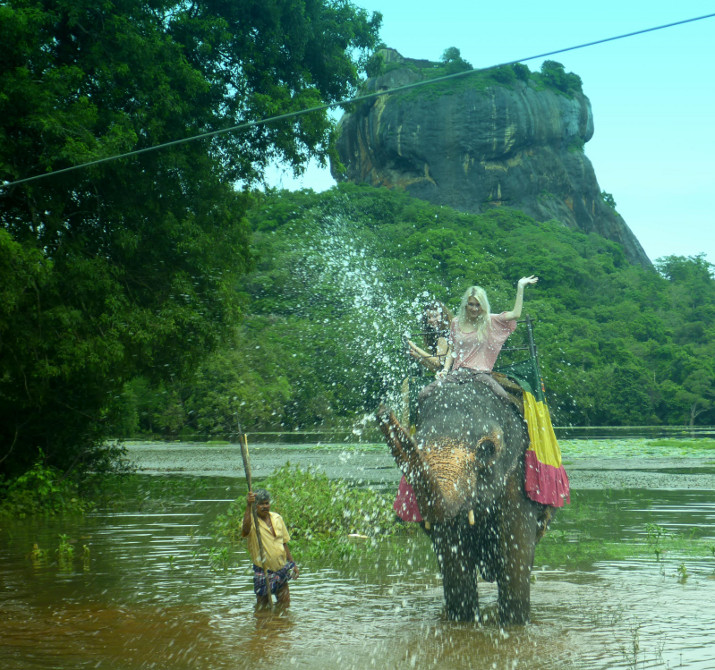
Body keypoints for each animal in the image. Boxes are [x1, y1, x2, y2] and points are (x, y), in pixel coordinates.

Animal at [378, 370, 552, 628]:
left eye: (487, 449)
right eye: (417, 441)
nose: (383, 411)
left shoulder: (518, 476)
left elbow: (515, 555)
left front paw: (513, 626)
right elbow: (454, 558)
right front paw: (464, 622)